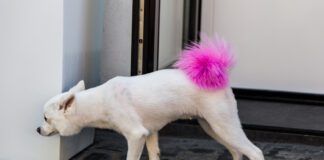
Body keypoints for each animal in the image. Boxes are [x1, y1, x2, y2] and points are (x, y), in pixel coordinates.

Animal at [36, 37, 264, 159]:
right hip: (212, 127)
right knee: (237, 152)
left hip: (224, 125)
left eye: (46, 118)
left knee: (255, 152)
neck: (100, 101)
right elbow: (154, 154)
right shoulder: (151, 134)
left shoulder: (136, 135)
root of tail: (218, 74)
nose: (37, 129)